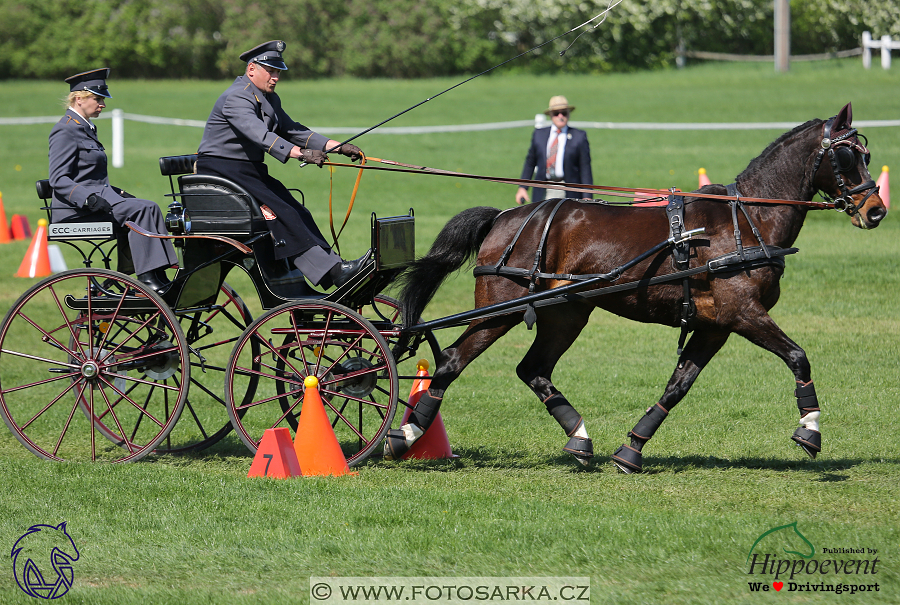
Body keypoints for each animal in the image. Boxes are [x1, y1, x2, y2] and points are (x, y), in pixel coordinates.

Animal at [386, 105, 884, 472]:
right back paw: (404, 435)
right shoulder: (743, 313)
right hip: (502, 309)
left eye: (866, 153)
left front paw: (632, 449)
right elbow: (798, 355)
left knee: (533, 369)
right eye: (847, 155)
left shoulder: (716, 325)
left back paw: (579, 439)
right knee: (452, 361)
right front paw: (810, 428)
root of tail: (505, 217)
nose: (876, 210)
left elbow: (678, 385)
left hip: (566, 312)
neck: (746, 221)